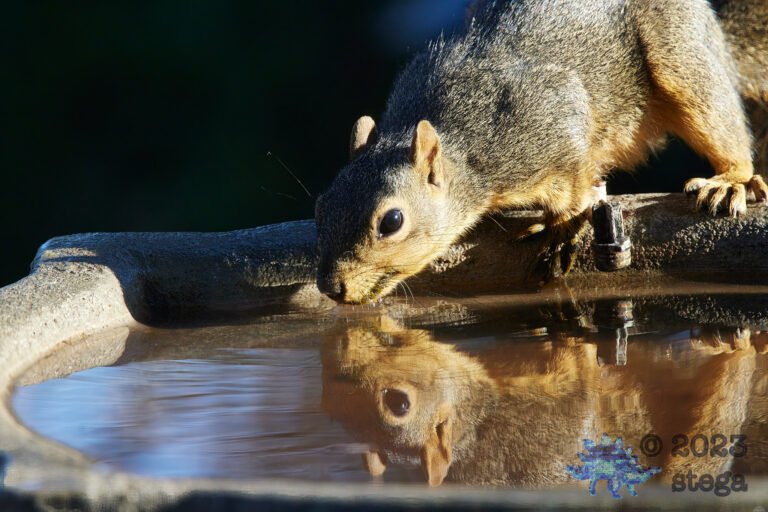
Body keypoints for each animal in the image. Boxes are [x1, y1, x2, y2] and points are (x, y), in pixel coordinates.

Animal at [315, 0, 768, 304]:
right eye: (321, 207)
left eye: (392, 221)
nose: (330, 287)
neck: (466, 150)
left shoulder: (553, 122)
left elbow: (573, 188)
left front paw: (559, 232)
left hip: (679, 58)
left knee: (719, 119)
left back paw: (731, 181)